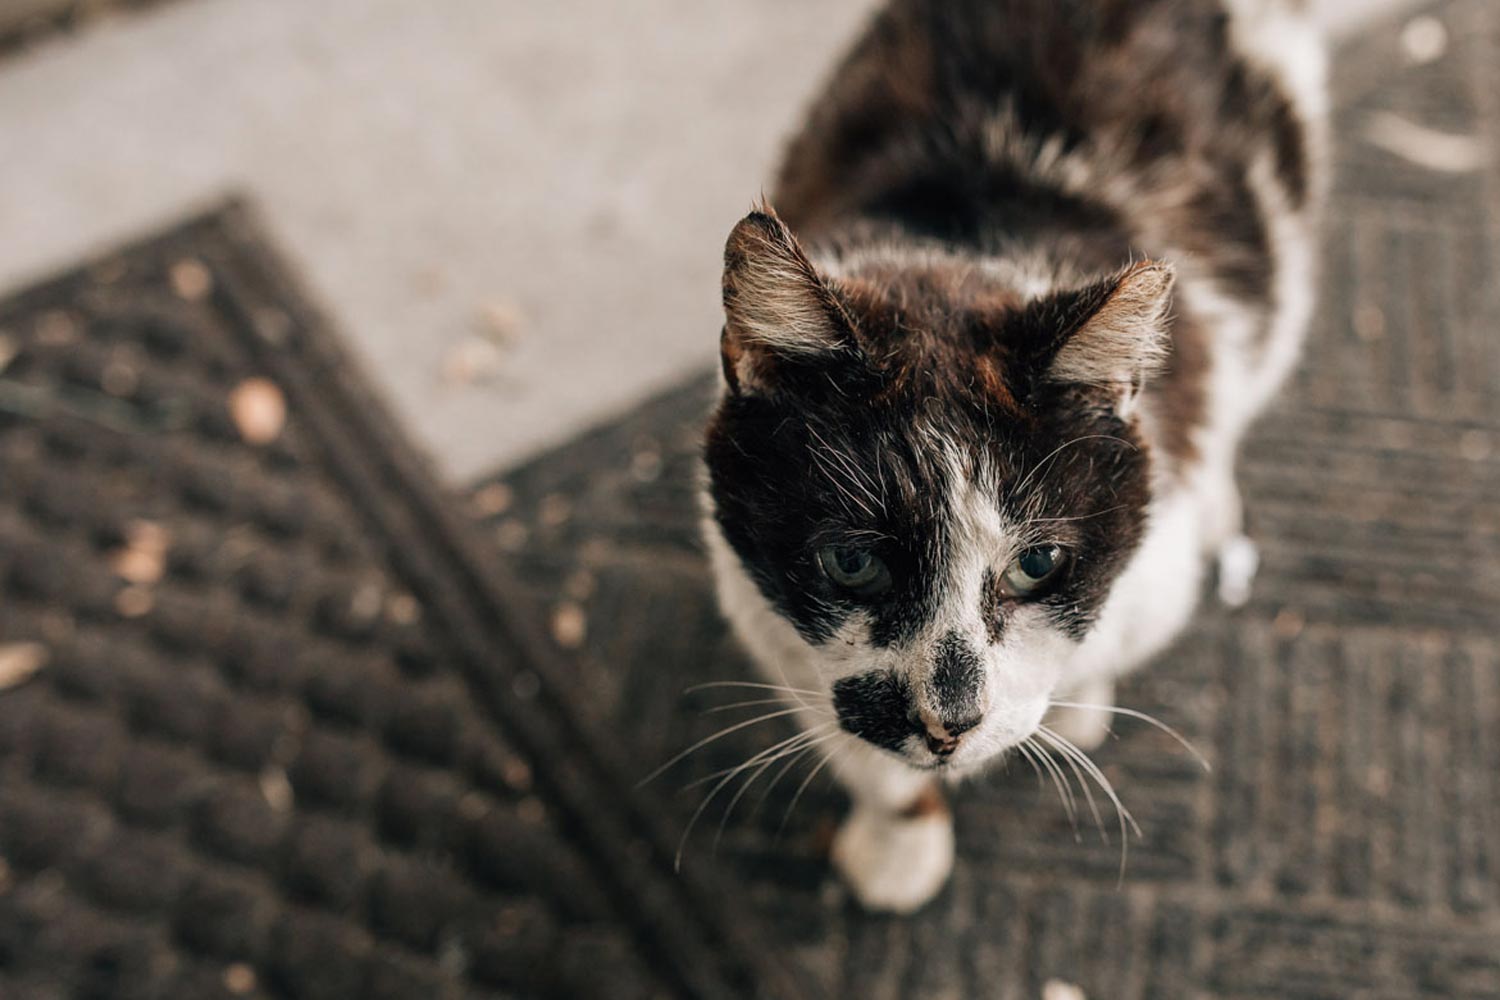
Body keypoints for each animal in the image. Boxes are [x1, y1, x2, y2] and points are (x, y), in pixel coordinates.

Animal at [699, 0, 1326, 911]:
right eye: (851, 562)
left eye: (1039, 564)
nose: (948, 721)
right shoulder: (768, 623)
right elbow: (867, 761)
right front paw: (899, 847)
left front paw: (1076, 706)